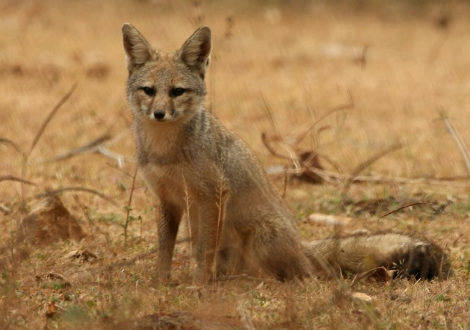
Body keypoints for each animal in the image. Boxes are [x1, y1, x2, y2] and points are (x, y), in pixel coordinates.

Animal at [120, 23, 448, 284]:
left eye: (177, 92)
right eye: (149, 91)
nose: (159, 114)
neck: (165, 150)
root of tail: (302, 245)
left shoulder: (213, 194)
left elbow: (204, 251)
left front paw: (198, 286)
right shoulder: (168, 199)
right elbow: (165, 249)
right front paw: (160, 283)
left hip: (261, 238)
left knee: (302, 275)